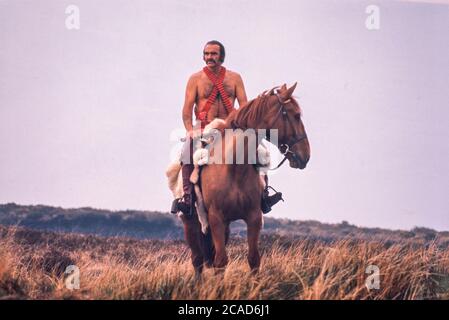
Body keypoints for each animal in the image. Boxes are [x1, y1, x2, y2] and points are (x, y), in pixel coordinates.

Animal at [168, 82, 308, 276]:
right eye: (296, 115)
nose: (306, 155)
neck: (234, 168)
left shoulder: (253, 217)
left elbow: (253, 259)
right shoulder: (216, 219)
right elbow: (220, 262)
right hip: (190, 222)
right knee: (197, 260)